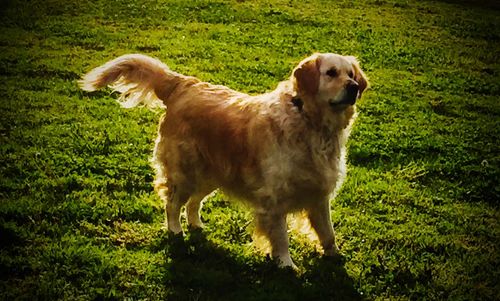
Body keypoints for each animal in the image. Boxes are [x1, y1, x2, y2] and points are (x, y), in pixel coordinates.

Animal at [78, 52, 368, 266]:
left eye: (351, 74)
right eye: (331, 73)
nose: (354, 88)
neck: (309, 120)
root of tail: (183, 84)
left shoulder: (319, 193)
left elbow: (328, 231)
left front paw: (335, 256)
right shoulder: (274, 198)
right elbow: (281, 236)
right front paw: (286, 264)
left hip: (213, 175)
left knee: (193, 203)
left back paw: (196, 225)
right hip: (184, 171)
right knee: (172, 202)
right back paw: (175, 230)